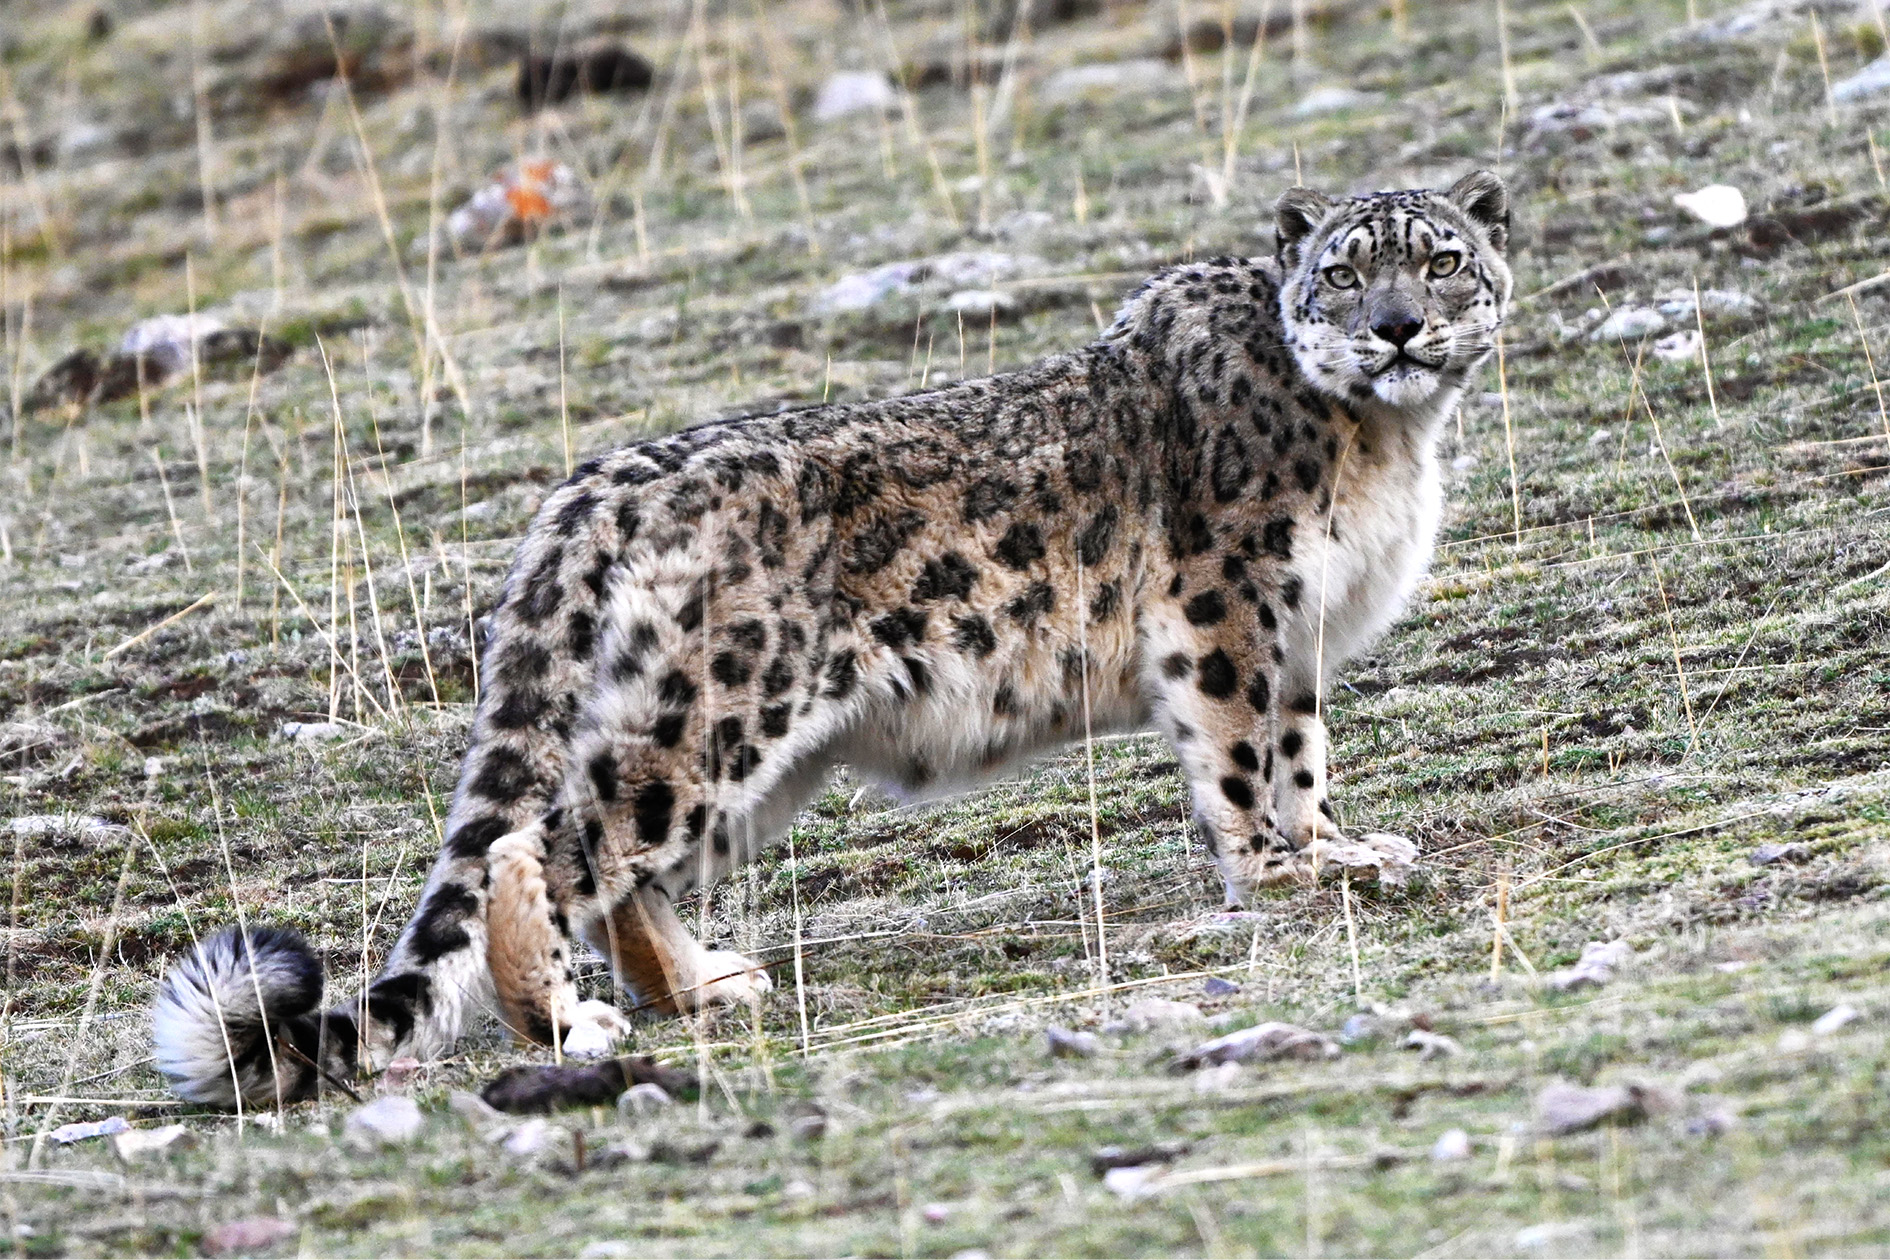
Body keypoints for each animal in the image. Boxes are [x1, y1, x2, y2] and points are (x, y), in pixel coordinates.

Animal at [154, 171, 1512, 1107]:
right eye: (1345, 273)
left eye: (1444, 260)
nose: (1396, 328)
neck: (1386, 444)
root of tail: (598, 481)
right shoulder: (1230, 605)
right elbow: (1237, 753)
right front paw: (1279, 875)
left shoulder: (1303, 634)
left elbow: (1301, 753)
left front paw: (1340, 849)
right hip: (719, 706)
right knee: (547, 845)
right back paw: (565, 1024)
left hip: (740, 746)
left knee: (621, 864)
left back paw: (703, 983)